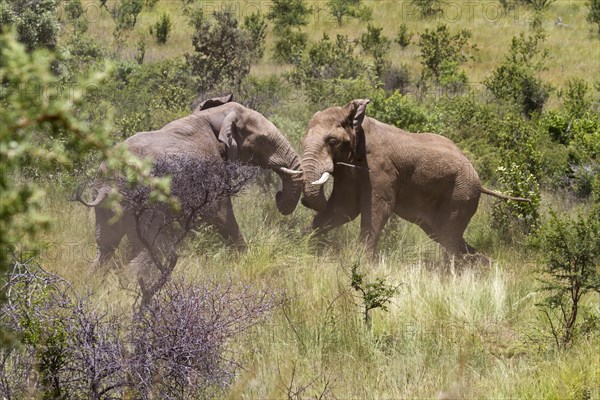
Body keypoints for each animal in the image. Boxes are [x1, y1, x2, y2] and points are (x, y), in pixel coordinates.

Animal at [78, 95, 304, 268]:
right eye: (264, 141)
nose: (278, 196)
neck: (214, 116)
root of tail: (106, 186)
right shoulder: (209, 168)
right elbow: (220, 213)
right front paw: (245, 257)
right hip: (142, 203)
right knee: (148, 246)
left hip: (106, 206)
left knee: (105, 245)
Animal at [302, 99, 528, 260]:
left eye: (332, 141)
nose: (303, 200)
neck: (359, 126)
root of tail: (480, 182)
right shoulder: (349, 171)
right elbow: (343, 209)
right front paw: (304, 242)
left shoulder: (379, 169)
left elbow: (378, 209)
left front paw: (361, 261)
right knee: (443, 235)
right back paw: (483, 264)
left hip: (462, 193)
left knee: (449, 237)